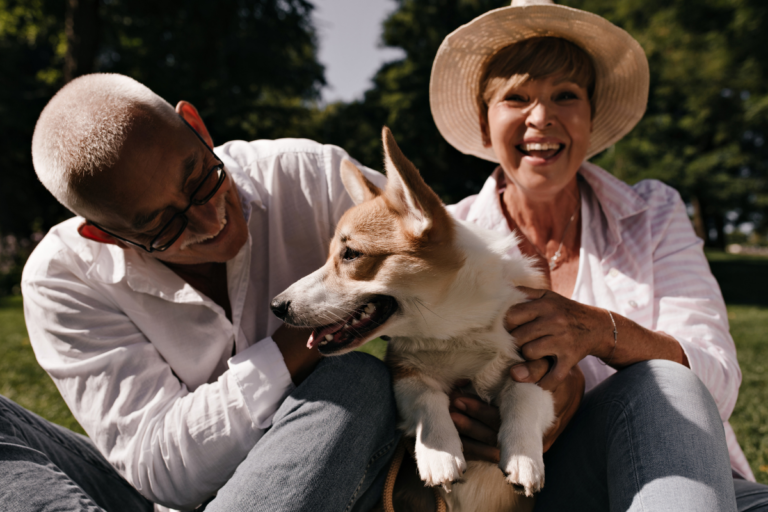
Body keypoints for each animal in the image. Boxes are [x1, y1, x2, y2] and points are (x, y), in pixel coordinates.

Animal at [272, 128, 556, 512]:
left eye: (351, 254)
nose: (277, 306)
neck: (452, 330)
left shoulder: (545, 368)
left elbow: (522, 391)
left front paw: (524, 460)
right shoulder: (402, 371)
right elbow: (426, 396)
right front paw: (441, 454)